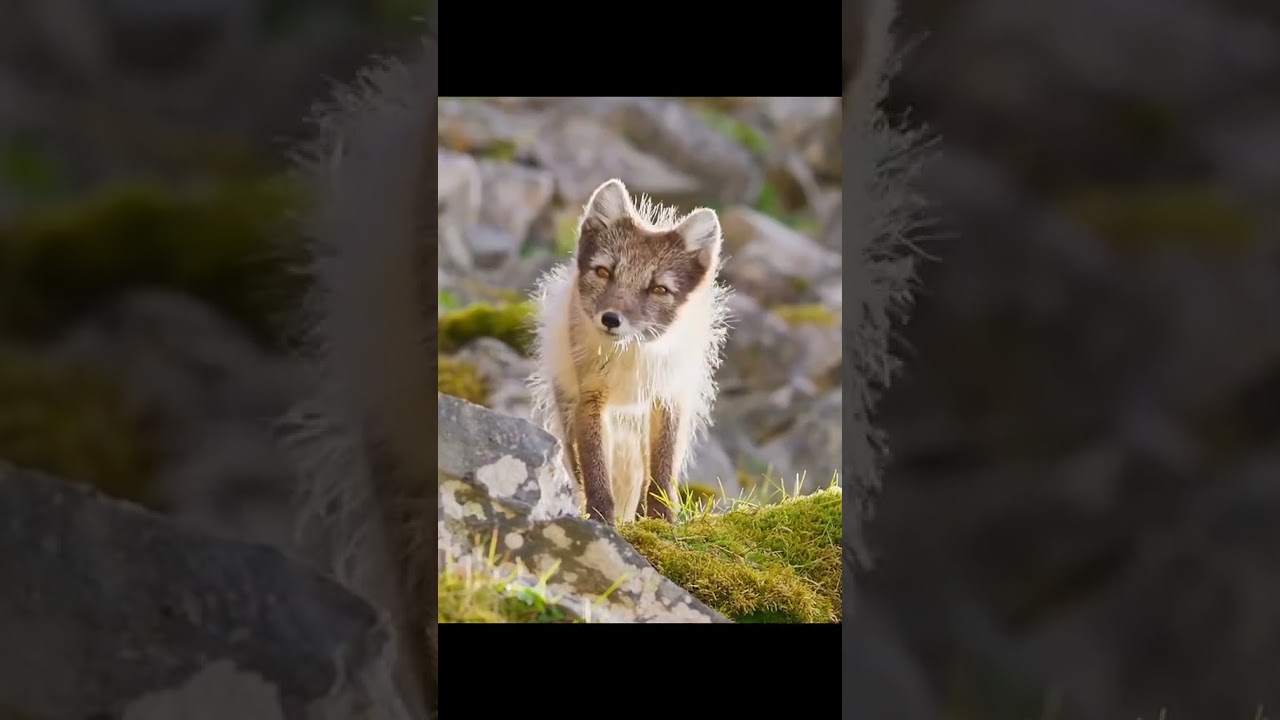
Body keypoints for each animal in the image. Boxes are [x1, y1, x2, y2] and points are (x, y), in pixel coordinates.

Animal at [528, 179, 732, 526]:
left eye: (658, 289)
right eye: (604, 272)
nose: (610, 319)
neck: (631, 355)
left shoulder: (668, 397)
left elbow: (662, 471)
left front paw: (662, 521)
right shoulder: (591, 397)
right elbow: (596, 471)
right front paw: (602, 521)